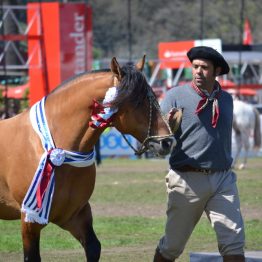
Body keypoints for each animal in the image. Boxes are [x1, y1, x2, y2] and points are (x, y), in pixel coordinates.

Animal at [0, 55, 180, 260]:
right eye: (137, 102)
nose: (166, 142)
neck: (59, 149)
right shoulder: (30, 220)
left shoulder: (75, 215)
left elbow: (93, 247)